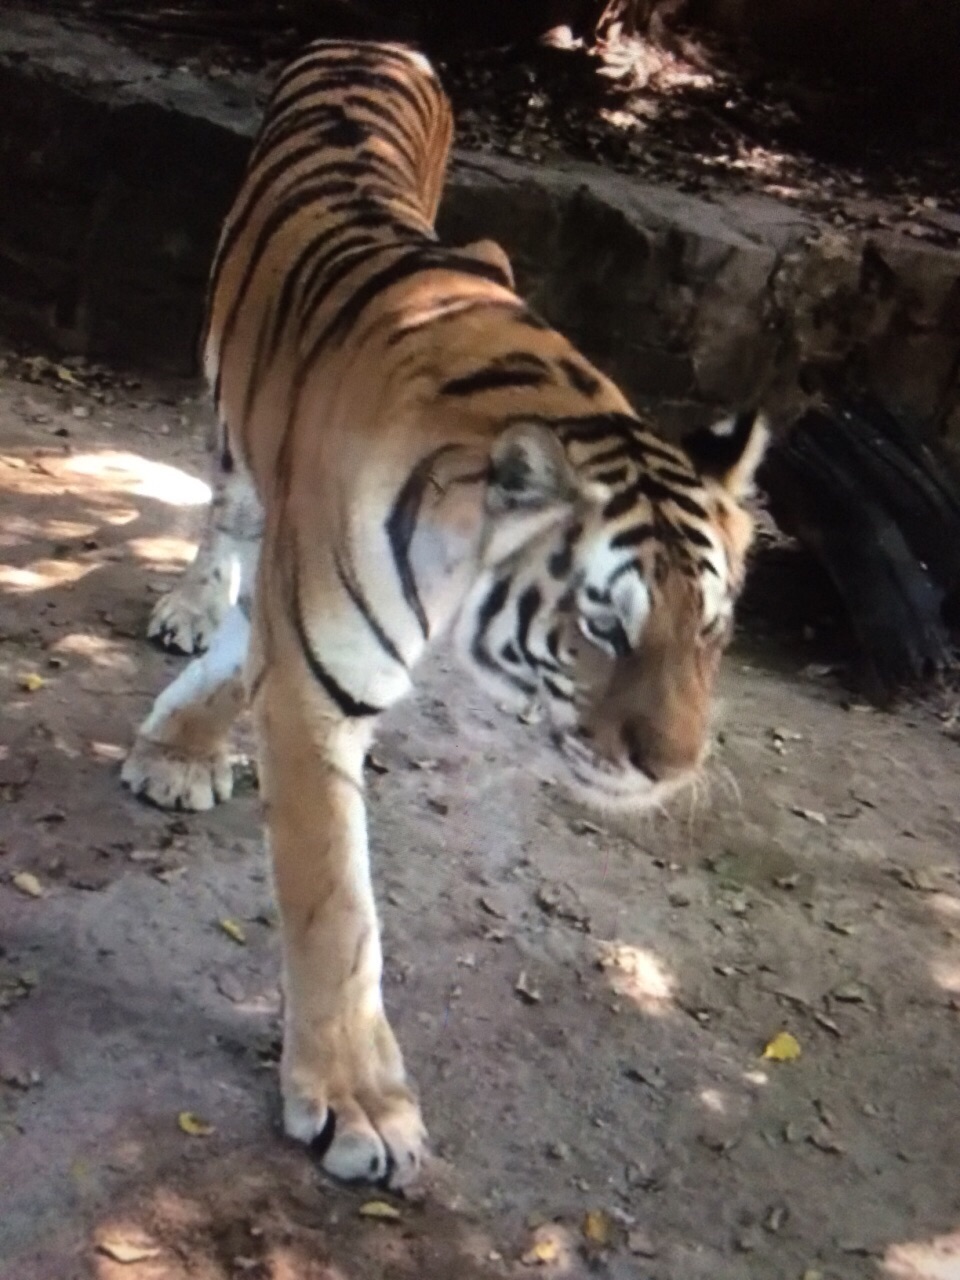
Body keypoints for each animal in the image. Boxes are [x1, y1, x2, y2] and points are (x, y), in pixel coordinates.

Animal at [122, 39, 768, 1189]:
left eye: (711, 629)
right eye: (604, 627)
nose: (676, 767)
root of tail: (375, 42)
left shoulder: (303, 619)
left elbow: (249, 660)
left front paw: (178, 744)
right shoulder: (317, 672)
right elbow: (336, 908)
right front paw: (356, 1103)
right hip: (227, 415)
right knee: (224, 516)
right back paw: (194, 600)